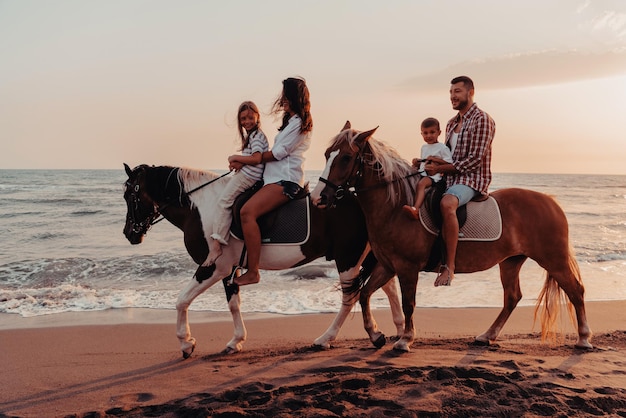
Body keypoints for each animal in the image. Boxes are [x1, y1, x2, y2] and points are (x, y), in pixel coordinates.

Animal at [123, 162, 402, 356]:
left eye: (130, 196)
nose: (129, 233)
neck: (203, 209)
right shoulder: (230, 270)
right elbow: (234, 304)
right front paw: (235, 341)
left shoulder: (214, 267)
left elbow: (181, 301)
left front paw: (186, 343)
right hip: (363, 256)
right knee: (384, 287)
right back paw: (391, 332)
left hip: (347, 258)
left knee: (351, 297)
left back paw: (327, 339)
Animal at [312, 122, 588, 352]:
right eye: (326, 155)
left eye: (346, 158)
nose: (318, 198)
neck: (395, 207)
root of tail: (551, 202)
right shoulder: (388, 266)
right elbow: (365, 295)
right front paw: (376, 335)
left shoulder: (407, 268)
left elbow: (408, 303)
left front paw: (405, 340)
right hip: (511, 261)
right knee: (512, 298)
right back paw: (487, 336)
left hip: (553, 260)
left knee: (576, 290)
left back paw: (584, 338)